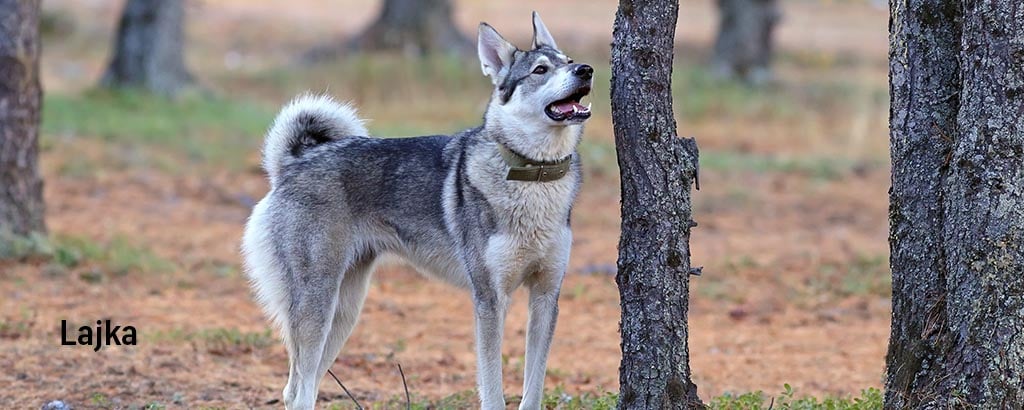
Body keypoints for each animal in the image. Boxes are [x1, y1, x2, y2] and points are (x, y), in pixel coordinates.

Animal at [240, 12, 593, 410]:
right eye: (540, 70)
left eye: (567, 60)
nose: (585, 69)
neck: (534, 177)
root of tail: (293, 162)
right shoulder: (489, 301)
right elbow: (493, 390)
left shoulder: (546, 297)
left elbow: (533, 390)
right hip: (317, 307)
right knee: (298, 389)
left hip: (344, 311)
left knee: (301, 385)